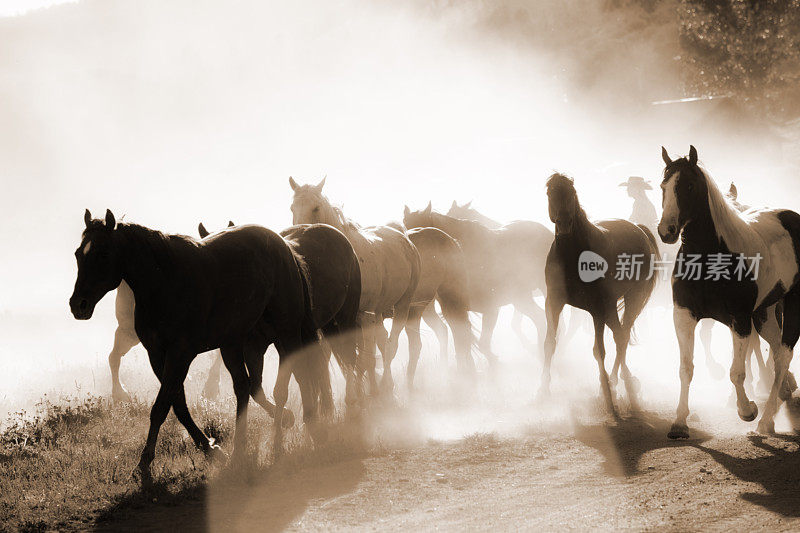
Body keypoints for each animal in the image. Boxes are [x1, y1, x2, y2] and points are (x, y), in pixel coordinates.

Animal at [290, 177, 422, 392]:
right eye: (292, 207)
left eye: (316, 207)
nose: (297, 234)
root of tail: (405, 240)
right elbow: (345, 358)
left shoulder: (362, 317)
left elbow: (361, 359)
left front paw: (362, 393)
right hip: (377, 313)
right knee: (383, 342)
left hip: (401, 305)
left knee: (390, 345)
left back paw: (385, 385)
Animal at [540, 172, 660, 414]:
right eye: (550, 192)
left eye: (572, 193)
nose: (564, 223)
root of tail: (640, 230)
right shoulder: (554, 303)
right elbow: (550, 343)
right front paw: (543, 391)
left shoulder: (597, 310)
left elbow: (599, 350)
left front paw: (606, 397)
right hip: (612, 307)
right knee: (620, 335)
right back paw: (621, 380)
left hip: (631, 300)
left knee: (622, 337)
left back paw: (616, 383)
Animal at [656, 145, 800, 436]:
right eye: (664, 185)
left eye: (689, 186)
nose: (667, 231)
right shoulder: (684, 315)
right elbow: (686, 368)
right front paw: (679, 422)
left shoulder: (740, 320)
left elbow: (737, 372)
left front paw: (747, 410)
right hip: (765, 312)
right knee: (776, 349)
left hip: (792, 303)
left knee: (783, 356)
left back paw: (765, 421)